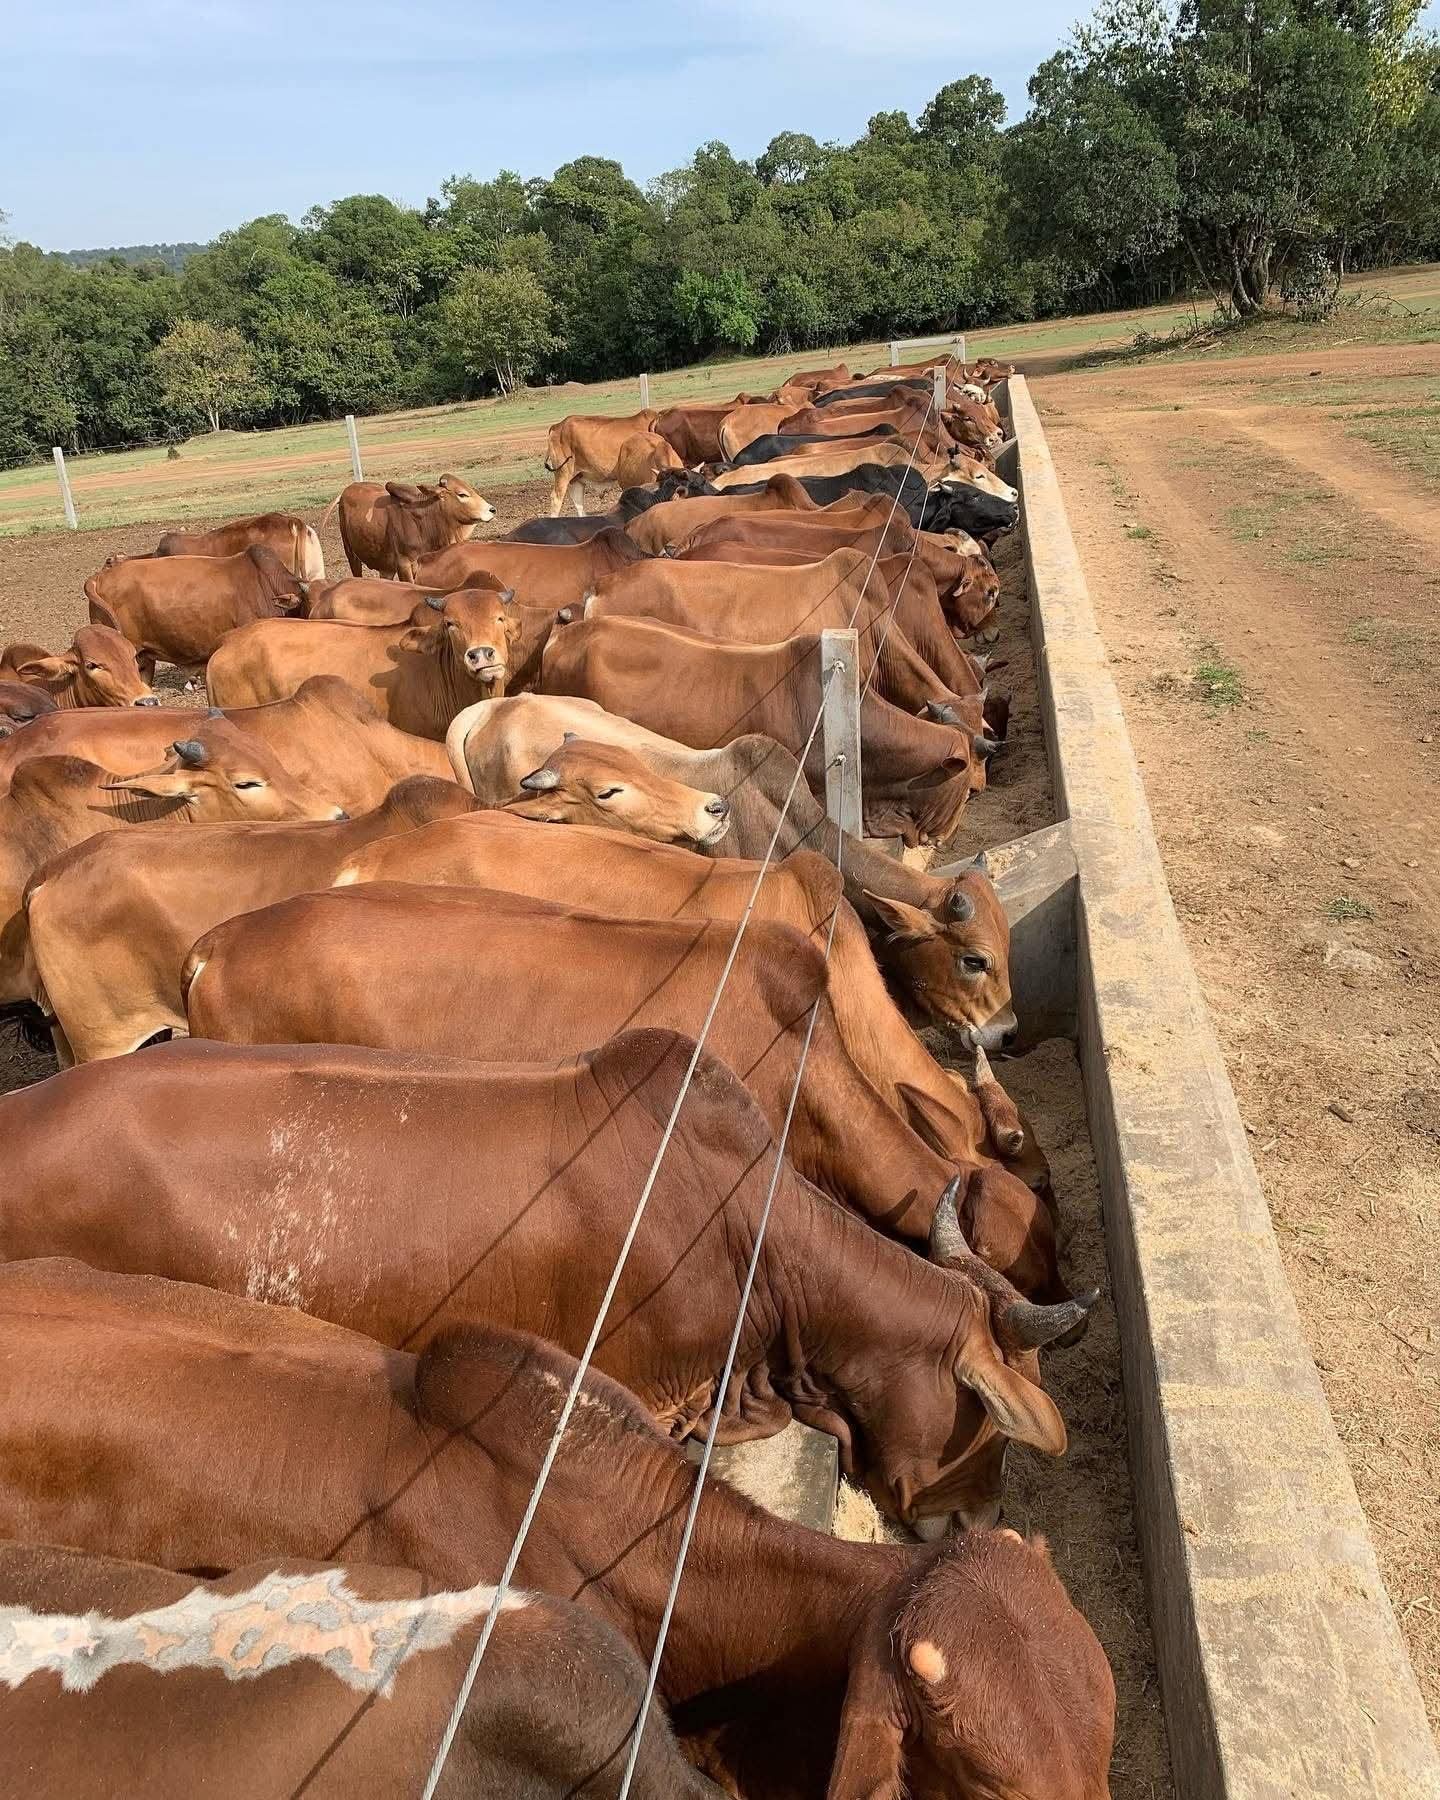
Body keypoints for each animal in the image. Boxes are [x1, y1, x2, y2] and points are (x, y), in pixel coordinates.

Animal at [322, 474, 495, 580]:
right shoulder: (404, 565)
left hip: (385, 567)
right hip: (351, 554)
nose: (492, 509)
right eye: (462, 494)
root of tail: (346, 491)